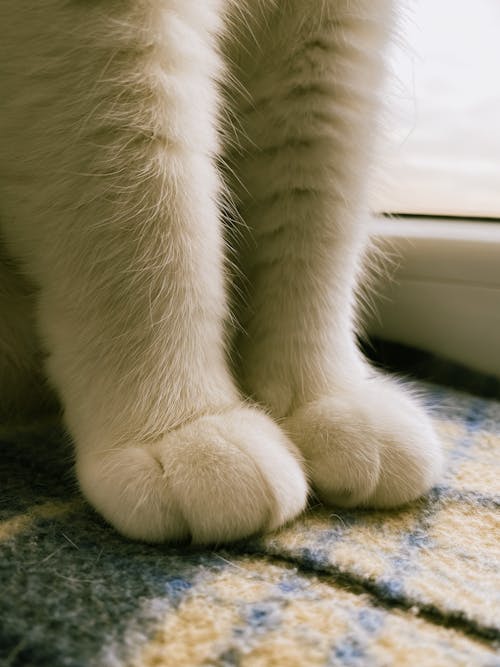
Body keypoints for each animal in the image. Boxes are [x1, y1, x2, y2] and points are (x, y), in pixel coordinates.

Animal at [1, 0, 444, 544]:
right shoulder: (85, 28)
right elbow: (145, 212)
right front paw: (184, 427)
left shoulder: (332, 35)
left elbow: (315, 223)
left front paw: (325, 396)